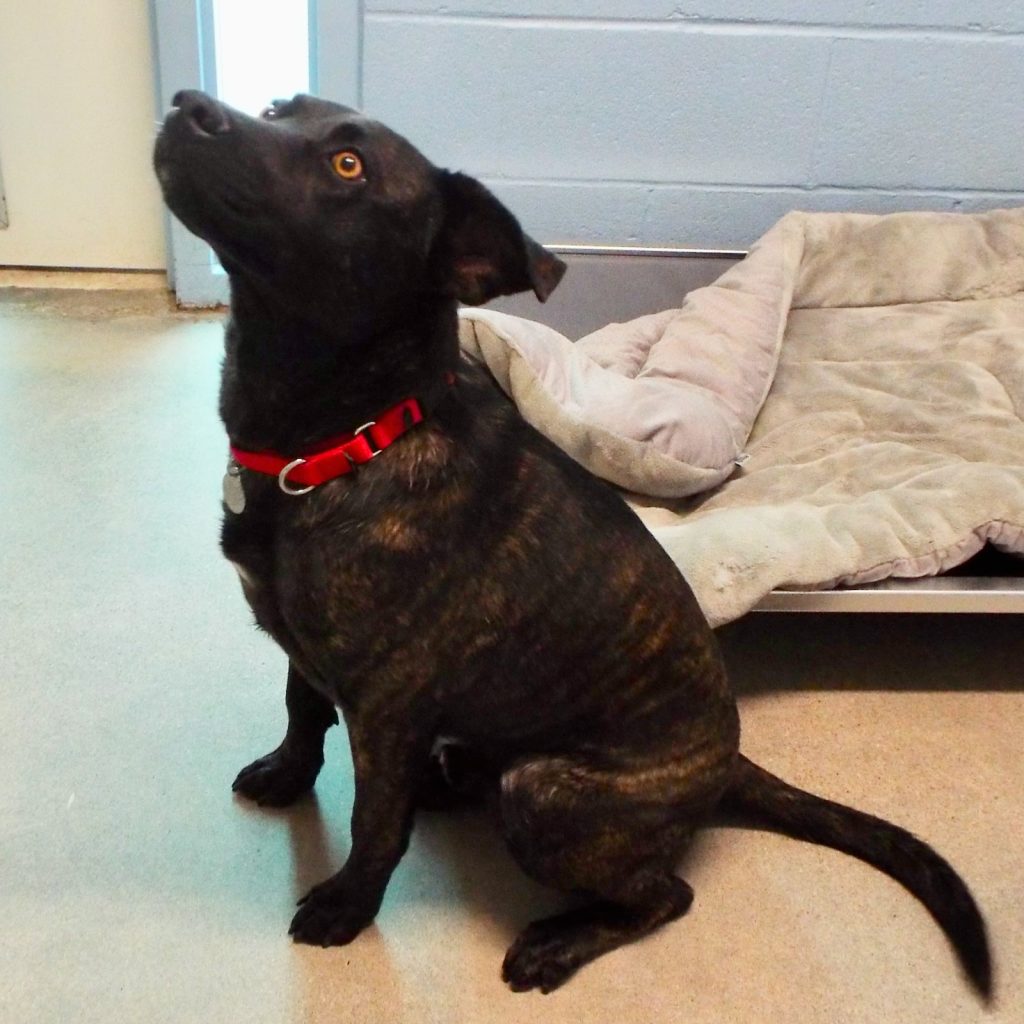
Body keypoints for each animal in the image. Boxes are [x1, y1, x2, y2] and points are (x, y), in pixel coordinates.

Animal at [154, 90, 991, 997]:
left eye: (350, 166)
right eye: (280, 108)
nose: (189, 106)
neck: (346, 443)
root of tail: (726, 762)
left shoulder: (385, 707)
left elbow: (374, 822)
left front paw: (348, 907)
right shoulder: (307, 652)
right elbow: (303, 713)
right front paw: (285, 774)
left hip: (545, 792)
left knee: (667, 893)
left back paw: (557, 940)